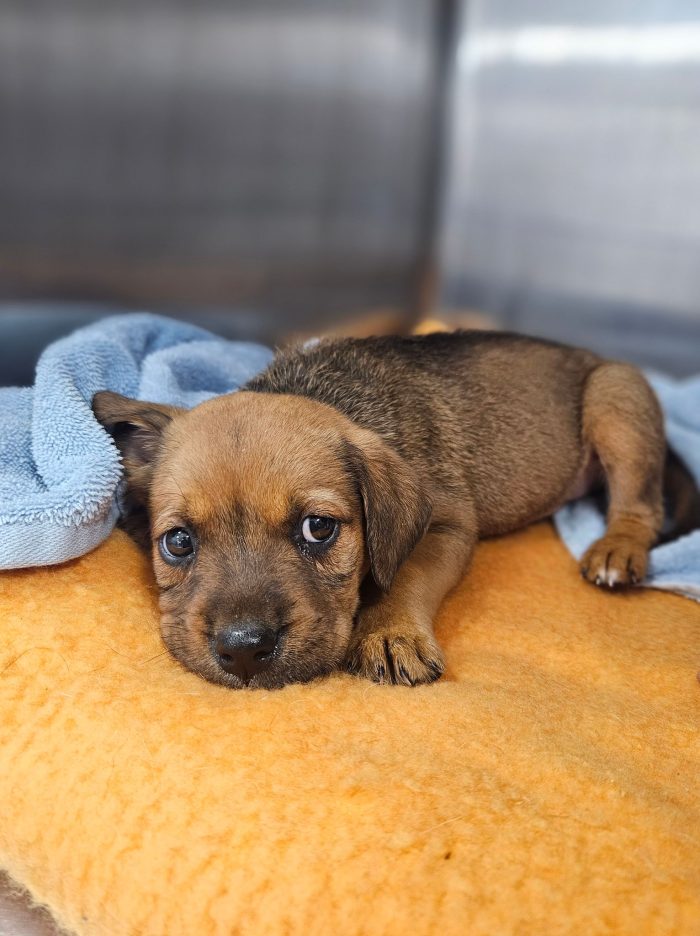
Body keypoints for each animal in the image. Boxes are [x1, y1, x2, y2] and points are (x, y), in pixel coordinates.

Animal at [94, 330, 700, 688]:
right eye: (178, 542)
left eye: (318, 529)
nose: (244, 651)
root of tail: (597, 356)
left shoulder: (448, 521)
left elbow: (404, 572)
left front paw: (388, 634)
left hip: (615, 400)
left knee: (640, 503)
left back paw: (616, 549)